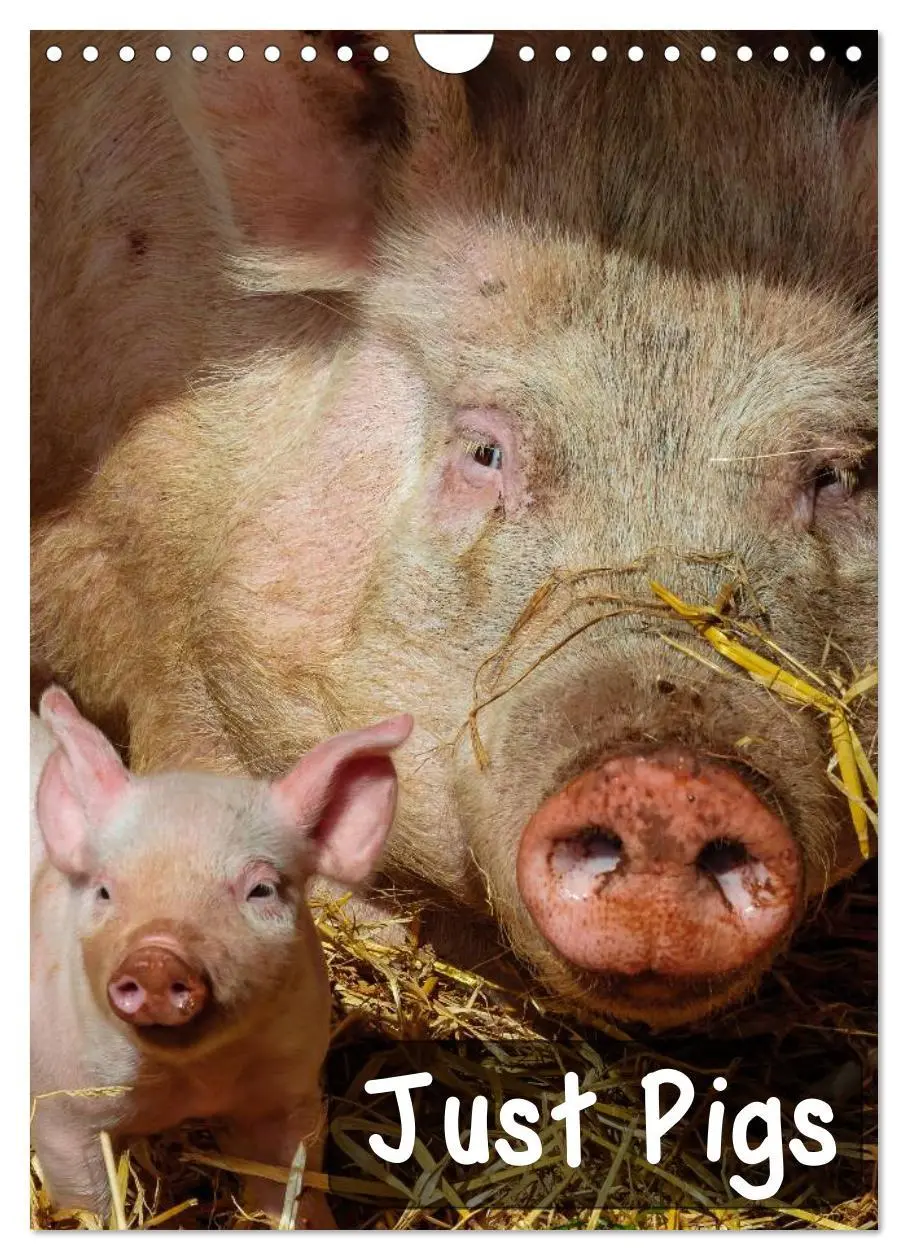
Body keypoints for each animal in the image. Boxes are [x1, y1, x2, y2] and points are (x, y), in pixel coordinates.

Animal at [30, 684, 412, 1225]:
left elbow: (290, 1182)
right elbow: (87, 1203)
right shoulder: (61, 1107)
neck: (194, 1080)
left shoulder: (290, 1091)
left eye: (261, 889)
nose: (156, 958)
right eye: (104, 890)